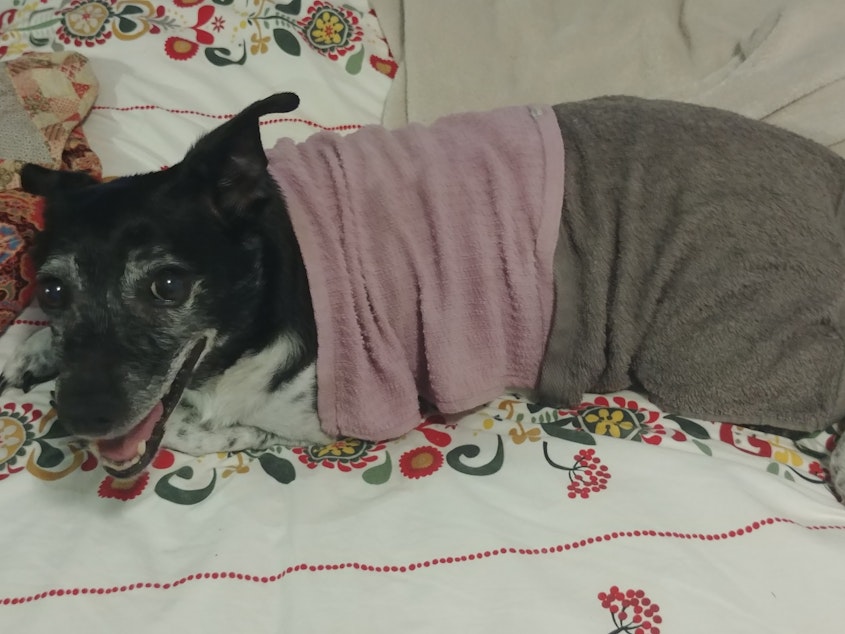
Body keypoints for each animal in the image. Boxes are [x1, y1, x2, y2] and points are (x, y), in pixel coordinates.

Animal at [4, 91, 844, 502]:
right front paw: (30, 345)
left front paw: (227, 433)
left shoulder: (343, 407)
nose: (80, 417)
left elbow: (191, 422)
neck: (277, 265)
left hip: (705, 345)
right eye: (52, 286)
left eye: (169, 285)